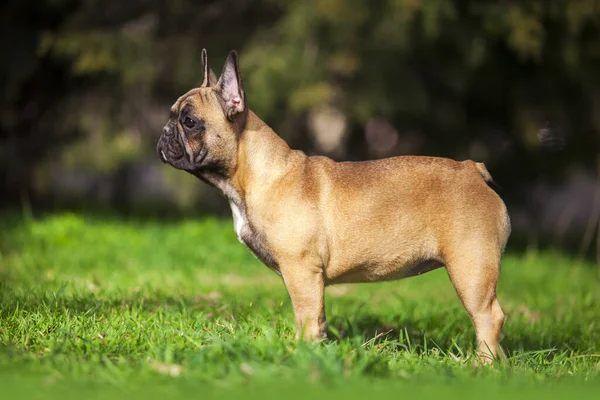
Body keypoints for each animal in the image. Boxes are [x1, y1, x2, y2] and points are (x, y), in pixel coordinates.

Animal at [158, 48, 510, 360]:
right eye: (173, 116)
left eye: (189, 121)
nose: (163, 132)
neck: (255, 175)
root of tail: (472, 169)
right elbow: (318, 319)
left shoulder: (301, 271)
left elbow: (306, 318)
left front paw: (302, 353)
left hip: (470, 267)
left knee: (488, 317)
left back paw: (483, 364)